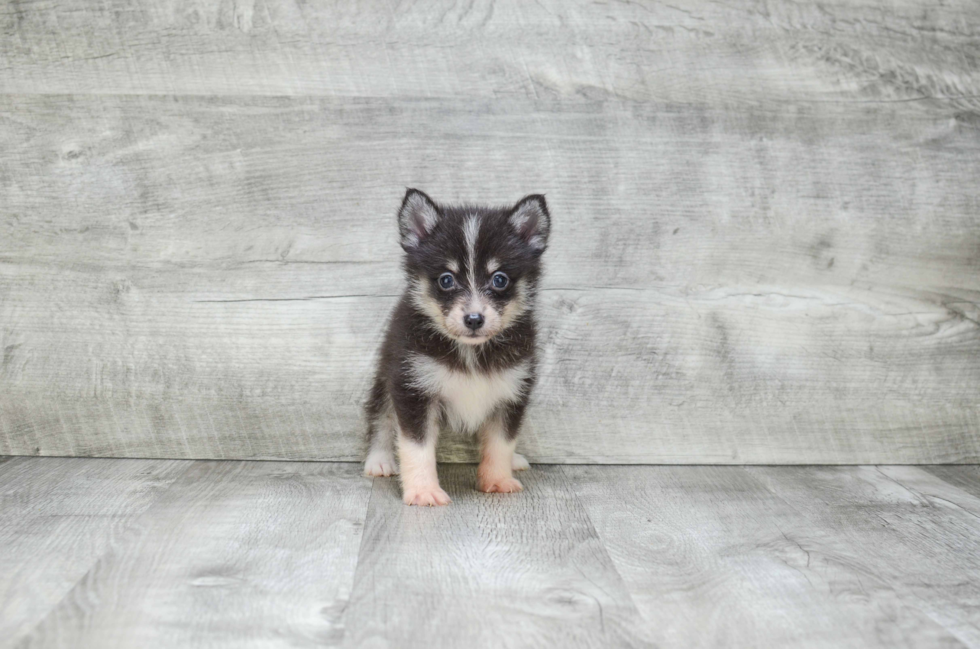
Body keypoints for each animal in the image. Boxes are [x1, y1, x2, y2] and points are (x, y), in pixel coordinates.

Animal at [368, 187, 552, 506]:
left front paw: (498, 480)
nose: (474, 319)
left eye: (499, 279)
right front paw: (423, 491)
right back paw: (378, 459)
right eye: (446, 279)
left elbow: (500, 442)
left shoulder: (512, 391)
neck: (471, 351)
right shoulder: (413, 387)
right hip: (387, 373)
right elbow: (416, 447)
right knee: (382, 415)